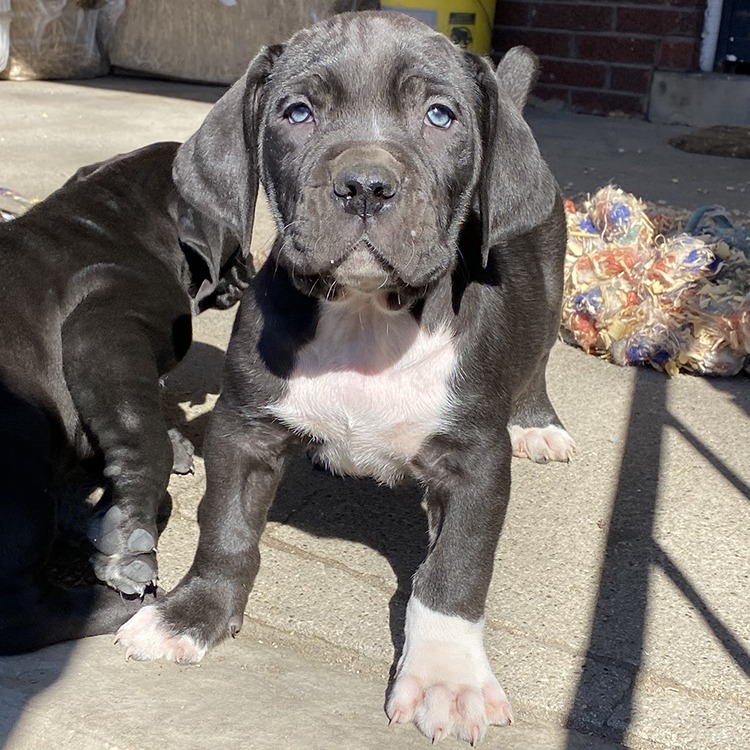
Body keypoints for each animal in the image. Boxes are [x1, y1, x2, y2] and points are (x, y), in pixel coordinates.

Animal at [0, 142, 251, 656]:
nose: (253, 268)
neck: (110, 217)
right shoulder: (109, 325)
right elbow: (140, 434)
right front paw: (129, 536)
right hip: (23, 448)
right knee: (22, 612)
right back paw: (118, 605)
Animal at [116, 11, 576, 748]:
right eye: (297, 112)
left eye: (440, 115)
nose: (365, 184)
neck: (366, 316)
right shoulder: (245, 430)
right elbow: (225, 532)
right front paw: (190, 615)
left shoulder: (475, 461)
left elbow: (455, 570)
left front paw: (448, 678)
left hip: (552, 281)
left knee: (535, 359)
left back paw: (539, 424)